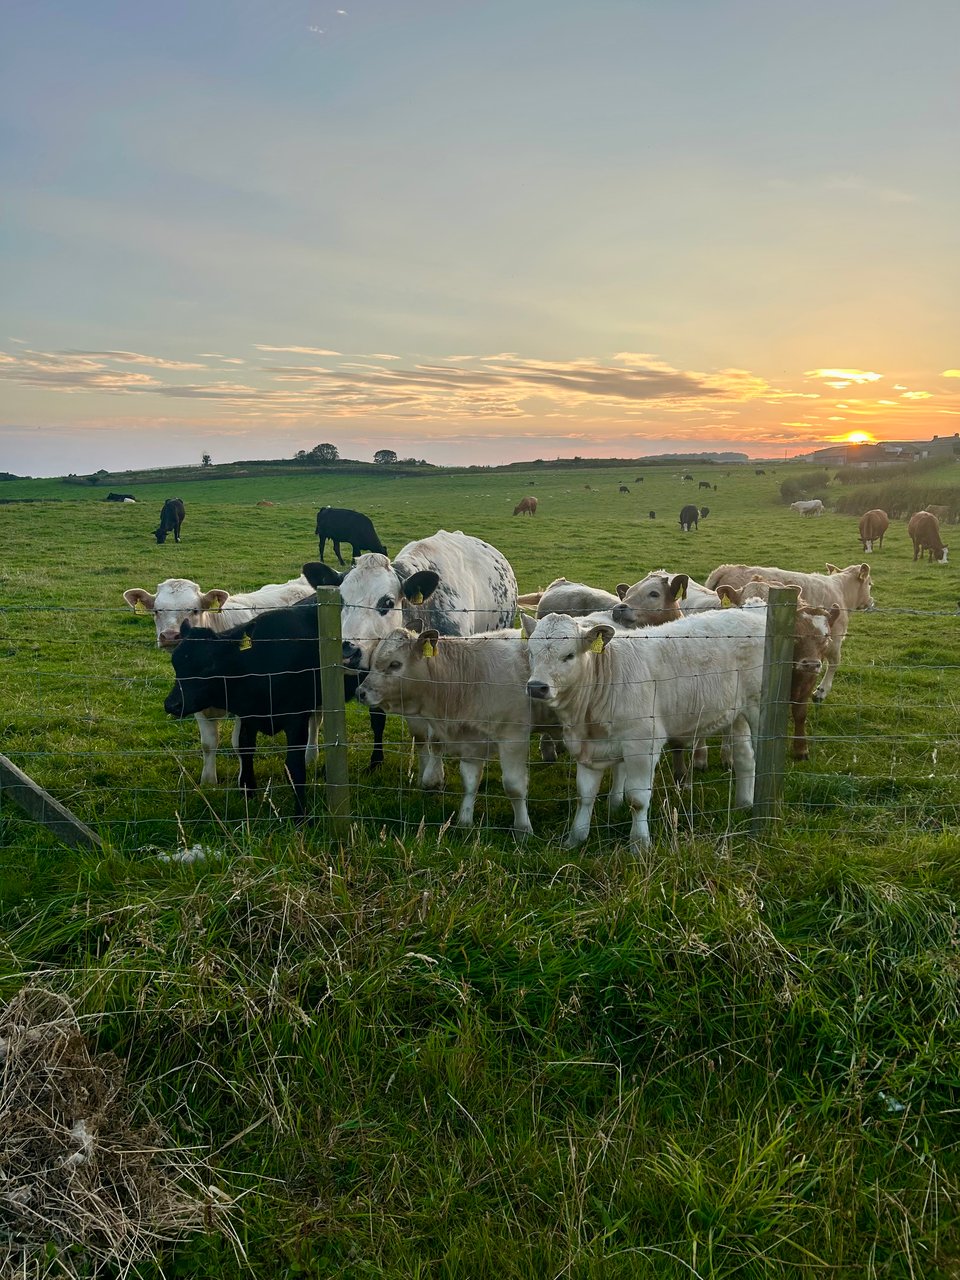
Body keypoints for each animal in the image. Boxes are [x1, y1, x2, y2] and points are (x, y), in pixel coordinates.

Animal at [123, 573, 319, 783]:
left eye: (194, 610)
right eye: (157, 610)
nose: (169, 635)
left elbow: (240, 744)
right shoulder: (195, 703)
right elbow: (208, 744)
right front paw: (208, 781)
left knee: (315, 720)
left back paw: (310, 756)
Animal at [164, 601, 385, 818]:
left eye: (209, 665)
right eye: (175, 663)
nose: (172, 704)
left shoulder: (295, 719)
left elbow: (294, 767)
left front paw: (301, 817)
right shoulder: (248, 715)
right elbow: (245, 749)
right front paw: (248, 791)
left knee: (378, 723)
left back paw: (375, 763)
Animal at [358, 628, 549, 834]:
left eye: (395, 664)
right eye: (372, 662)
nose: (360, 692)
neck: (471, 677)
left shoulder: (513, 737)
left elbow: (514, 786)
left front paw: (523, 828)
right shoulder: (470, 740)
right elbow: (470, 782)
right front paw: (464, 821)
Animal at [524, 608, 769, 849]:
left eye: (569, 655)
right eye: (531, 652)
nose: (536, 687)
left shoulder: (642, 744)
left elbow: (637, 799)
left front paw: (639, 843)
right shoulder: (587, 748)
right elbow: (585, 795)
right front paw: (575, 839)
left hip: (758, 708)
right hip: (737, 715)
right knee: (745, 759)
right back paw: (743, 805)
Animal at [704, 561, 874, 702]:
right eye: (870, 584)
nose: (871, 602)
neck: (841, 591)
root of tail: (726, 568)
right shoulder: (834, 638)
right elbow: (834, 662)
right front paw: (821, 691)